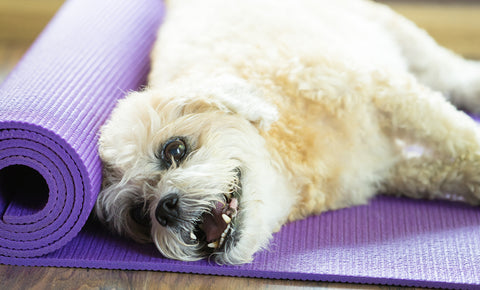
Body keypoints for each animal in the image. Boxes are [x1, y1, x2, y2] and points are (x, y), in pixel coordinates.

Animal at [95, 0, 480, 264]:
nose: (165, 208)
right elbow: (450, 173)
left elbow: (460, 136)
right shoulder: (388, 170)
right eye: (139, 214)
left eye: (174, 149)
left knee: (447, 70)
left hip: (392, 30)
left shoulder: (386, 93)